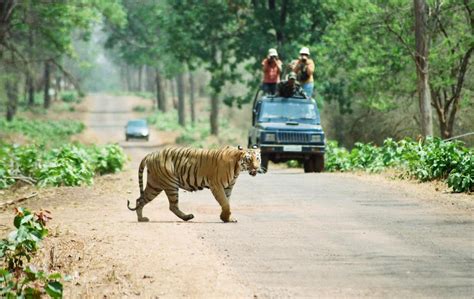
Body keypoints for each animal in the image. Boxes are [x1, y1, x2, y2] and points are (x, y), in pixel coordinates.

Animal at [128, 145, 262, 223]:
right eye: (249, 159)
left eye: (258, 158)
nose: (256, 167)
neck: (237, 168)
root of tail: (151, 154)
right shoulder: (216, 185)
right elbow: (225, 203)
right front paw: (225, 218)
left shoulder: (228, 187)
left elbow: (227, 202)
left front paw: (227, 218)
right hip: (170, 184)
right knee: (172, 206)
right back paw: (187, 217)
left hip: (154, 185)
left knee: (140, 199)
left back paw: (141, 219)